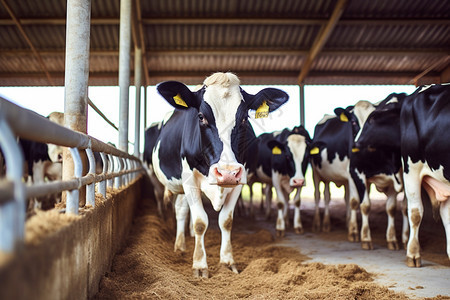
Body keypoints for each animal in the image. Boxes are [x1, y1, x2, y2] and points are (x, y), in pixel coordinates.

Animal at [151, 72, 288, 276]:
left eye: (245, 118)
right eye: (201, 117)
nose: (227, 172)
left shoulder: (240, 179)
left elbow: (226, 221)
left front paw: (227, 262)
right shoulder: (189, 180)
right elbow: (200, 222)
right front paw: (200, 265)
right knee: (181, 210)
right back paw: (180, 246)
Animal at [310, 101, 376, 241]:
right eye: (353, 122)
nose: (360, 142)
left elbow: (362, 201)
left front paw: (353, 225)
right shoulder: (352, 174)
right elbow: (355, 201)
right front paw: (354, 232)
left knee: (336, 197)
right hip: (316, 173)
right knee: (320, 196)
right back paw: (320, 224)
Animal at [350, 92, 410, 250]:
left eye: (373, 118)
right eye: (353, 122)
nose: (356, 144)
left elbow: (395, 208)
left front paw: (397, 239)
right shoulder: (357, 173)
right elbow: (365, 205)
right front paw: (366, 239)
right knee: (353, 202)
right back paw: (353, 232)